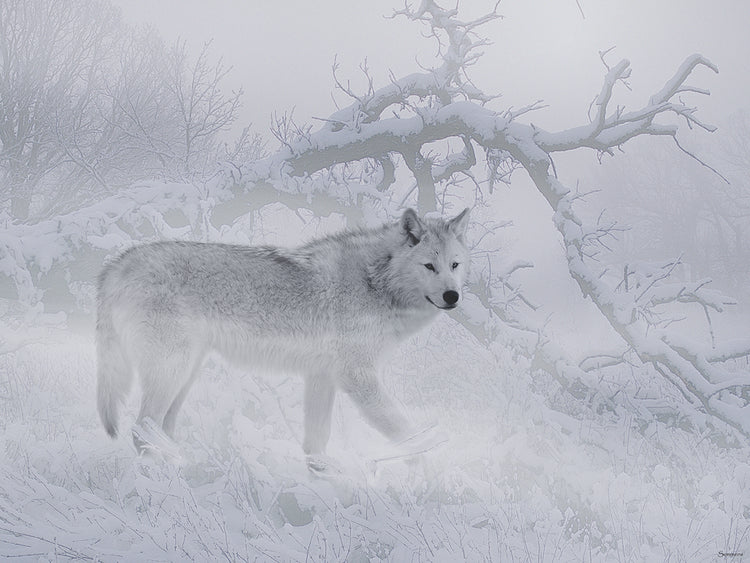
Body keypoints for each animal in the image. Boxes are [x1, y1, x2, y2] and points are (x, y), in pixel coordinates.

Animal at [96, 207, 471, 469]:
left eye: (455, 265)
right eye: (429, 266)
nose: (452, 296)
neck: (375, 282)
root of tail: (117, 264)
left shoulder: (322, 377)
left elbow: (317, 441)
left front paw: (325, 478)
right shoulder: (357, 378)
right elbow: (408, 434)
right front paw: (430, 471)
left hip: (185, 374)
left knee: (160, 428)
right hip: (172, 372)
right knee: (140, 430)